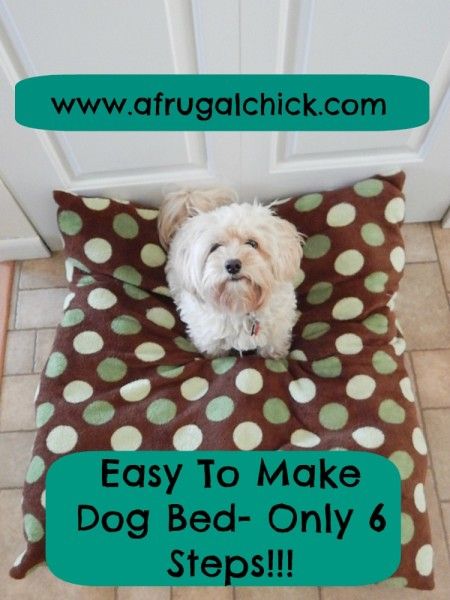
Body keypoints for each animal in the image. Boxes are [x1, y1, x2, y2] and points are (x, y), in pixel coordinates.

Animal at [157, 189, 302, 356]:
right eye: (214, 247)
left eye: (252, 243)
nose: (232, 265)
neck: (238, 301)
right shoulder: (209, 338)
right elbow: (214, 351)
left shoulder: (277, 330)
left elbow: (273, 346)